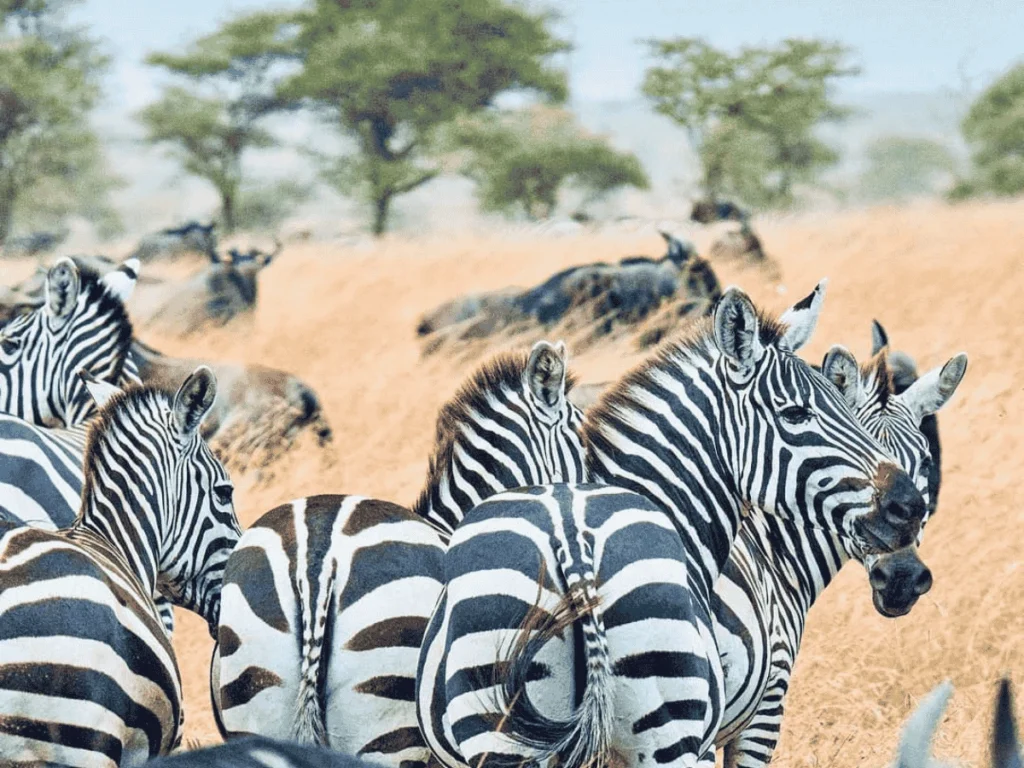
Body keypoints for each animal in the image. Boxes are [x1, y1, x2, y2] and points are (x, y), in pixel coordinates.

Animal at [416, 280, 929, 767]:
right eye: (796, 414)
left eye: (925, 460)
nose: (909, 505)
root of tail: (573, 544)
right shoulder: (755, 709)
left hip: (502, 731)